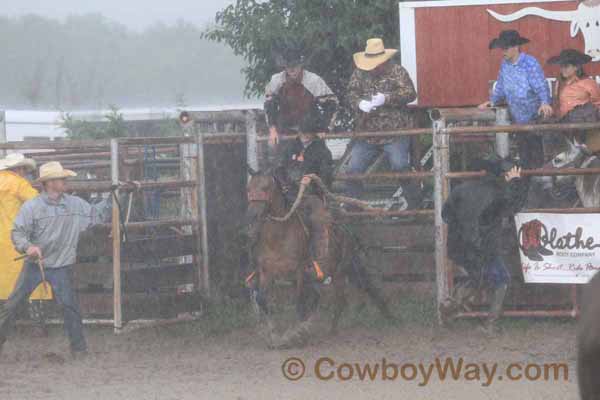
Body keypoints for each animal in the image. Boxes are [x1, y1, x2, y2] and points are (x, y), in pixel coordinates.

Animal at [245, 167, 394, 348]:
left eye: (266, 188)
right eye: (248, 188)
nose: (252, 215)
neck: (278, 237)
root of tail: (345, 228)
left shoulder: (299, 272)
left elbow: (300, 303)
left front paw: (296, 334)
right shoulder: (267, 272)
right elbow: (262, 299)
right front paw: (274, 335)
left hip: (342, 270)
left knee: (344, 296)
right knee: (330, 298)